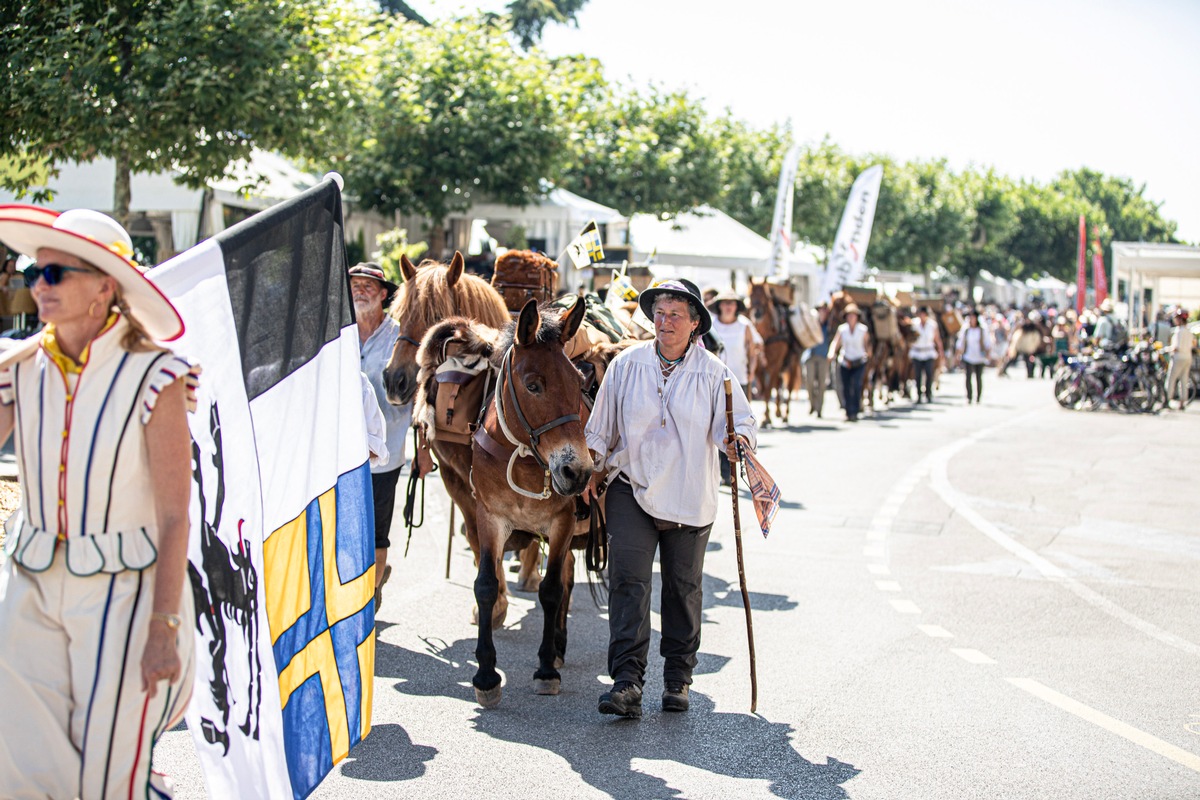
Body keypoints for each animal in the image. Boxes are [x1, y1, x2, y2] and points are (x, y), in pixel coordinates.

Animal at [420, 298, 592, 705]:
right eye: (533, 385)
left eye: (579, 383)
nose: (577, 472)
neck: (524, 456)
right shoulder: (489, 516)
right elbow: (485, 584)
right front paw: (486, 675)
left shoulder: (561, 523)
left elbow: (552, 590)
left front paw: (545, 668)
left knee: (565, 579)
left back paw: (557, 646)